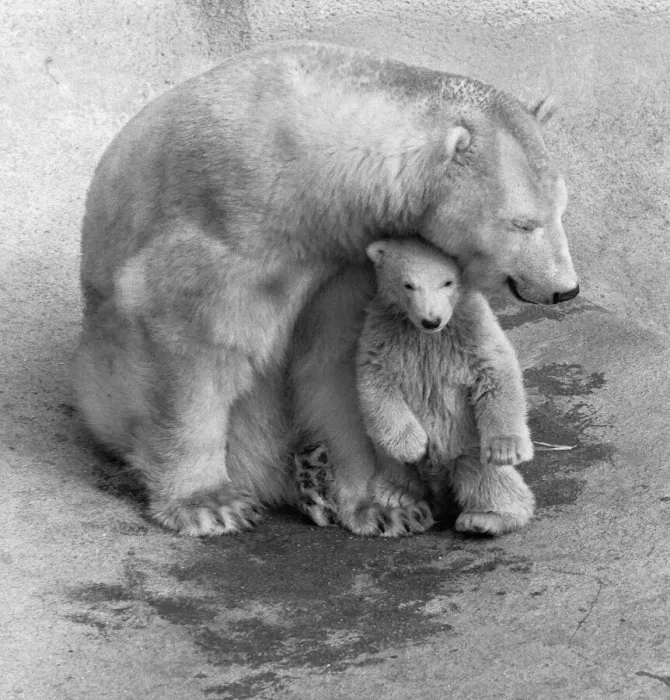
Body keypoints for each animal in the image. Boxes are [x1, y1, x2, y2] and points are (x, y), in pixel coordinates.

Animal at [354, 237, 535, 535]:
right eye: (408, 284)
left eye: (447, 282)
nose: (431, 320)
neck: (427, 335)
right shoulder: (384, 333)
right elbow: (376, 381)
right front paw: (413, 446)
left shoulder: (472, 329)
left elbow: (495, 372)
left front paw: (506, 449)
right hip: (387, 459)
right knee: (394, 469)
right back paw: (395, 495)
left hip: (467, 446)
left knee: (484, 477)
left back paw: (484, 519)